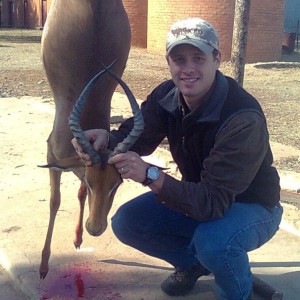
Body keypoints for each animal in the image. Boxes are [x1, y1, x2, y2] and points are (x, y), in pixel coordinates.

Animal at [38, 1, 142, 280]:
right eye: (92, 181)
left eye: (117, 183)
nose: (95, 228)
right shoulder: (52, 157)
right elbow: (54, 201)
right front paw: (43, 265)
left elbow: (80, 194)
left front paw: (77, 239)